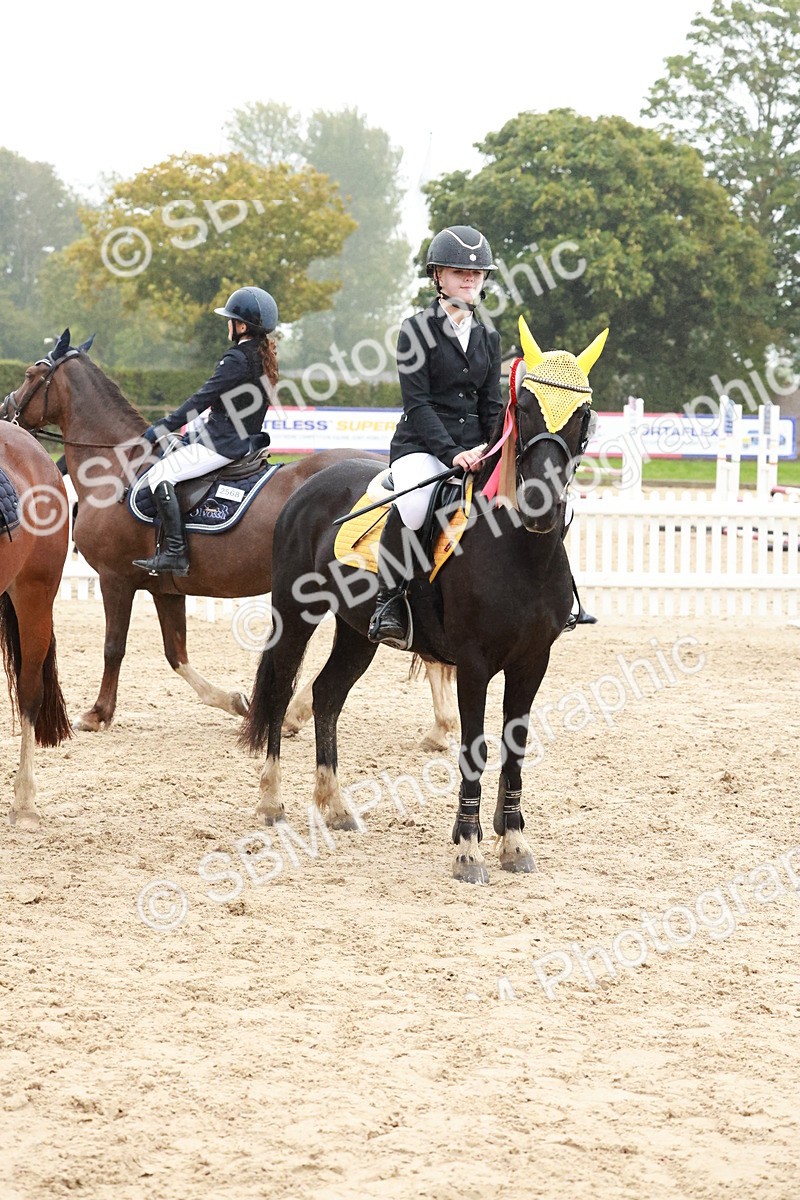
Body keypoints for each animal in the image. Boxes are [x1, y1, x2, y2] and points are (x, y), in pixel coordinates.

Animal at [1, 330, 458, 744]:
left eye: (30, 374)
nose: (7, 412)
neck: (117, 466)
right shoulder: (164, 587)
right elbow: (177, 655)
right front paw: (235, 702)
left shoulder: (116, 579)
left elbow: (114, 646)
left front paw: (97, 714)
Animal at [240, 317, 607, 883]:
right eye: (523, 406)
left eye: (582, 414)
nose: (541, 504)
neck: (518, 549)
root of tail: (308, 482)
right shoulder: (475, 664)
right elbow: (475, 749)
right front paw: (469, 851)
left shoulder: (532, 662)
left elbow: (515, 748)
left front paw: (513, 842)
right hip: (296, 614)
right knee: (281, 692)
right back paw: (271, 802)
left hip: (357, 633)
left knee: (327, 694)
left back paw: (335, 807)